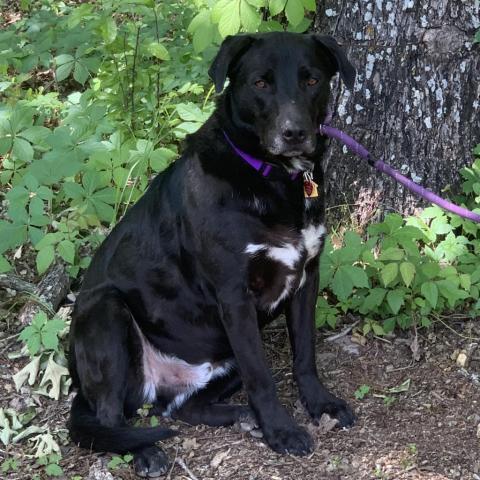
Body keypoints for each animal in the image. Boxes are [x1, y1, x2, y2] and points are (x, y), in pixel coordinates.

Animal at [69, 32, 356, 476]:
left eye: (311, 80)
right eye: (260, 83)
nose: (294, 132)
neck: (270, 176)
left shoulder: (307, 278)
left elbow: (305, 355)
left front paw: (320, 404)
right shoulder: (234, 297)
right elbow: (263, 378)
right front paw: (281, 431)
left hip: (222, 357)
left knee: (183, 409)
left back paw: (239, 415)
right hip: (107, 312)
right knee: (110, 417)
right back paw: (146, 451)